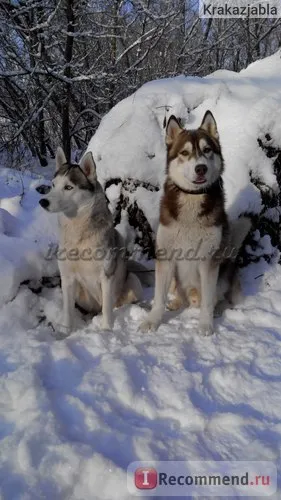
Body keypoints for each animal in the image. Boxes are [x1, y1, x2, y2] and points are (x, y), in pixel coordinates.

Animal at [38, 148, 144, 336]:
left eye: (68, 187)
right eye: (53, 185)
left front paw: (106, 330)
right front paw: (65, 332)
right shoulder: (67, 278)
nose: (43, 201)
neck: (79, 236)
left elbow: (107, 310)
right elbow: (67, 311)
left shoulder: (106, 277)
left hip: (132, 281)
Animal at [140, 111, 249, 334]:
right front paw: (153, 320)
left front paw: (205, 324)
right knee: (180, 296)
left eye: (207, 150)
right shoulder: (166, 255)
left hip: (224, 270)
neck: (192, 198)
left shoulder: (209, 261)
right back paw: (176, 303)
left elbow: (208, 301)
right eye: (184, 152)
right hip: (177, 280)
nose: (201, 168)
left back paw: (218, 309)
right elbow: (158, 297)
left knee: (220, 298)